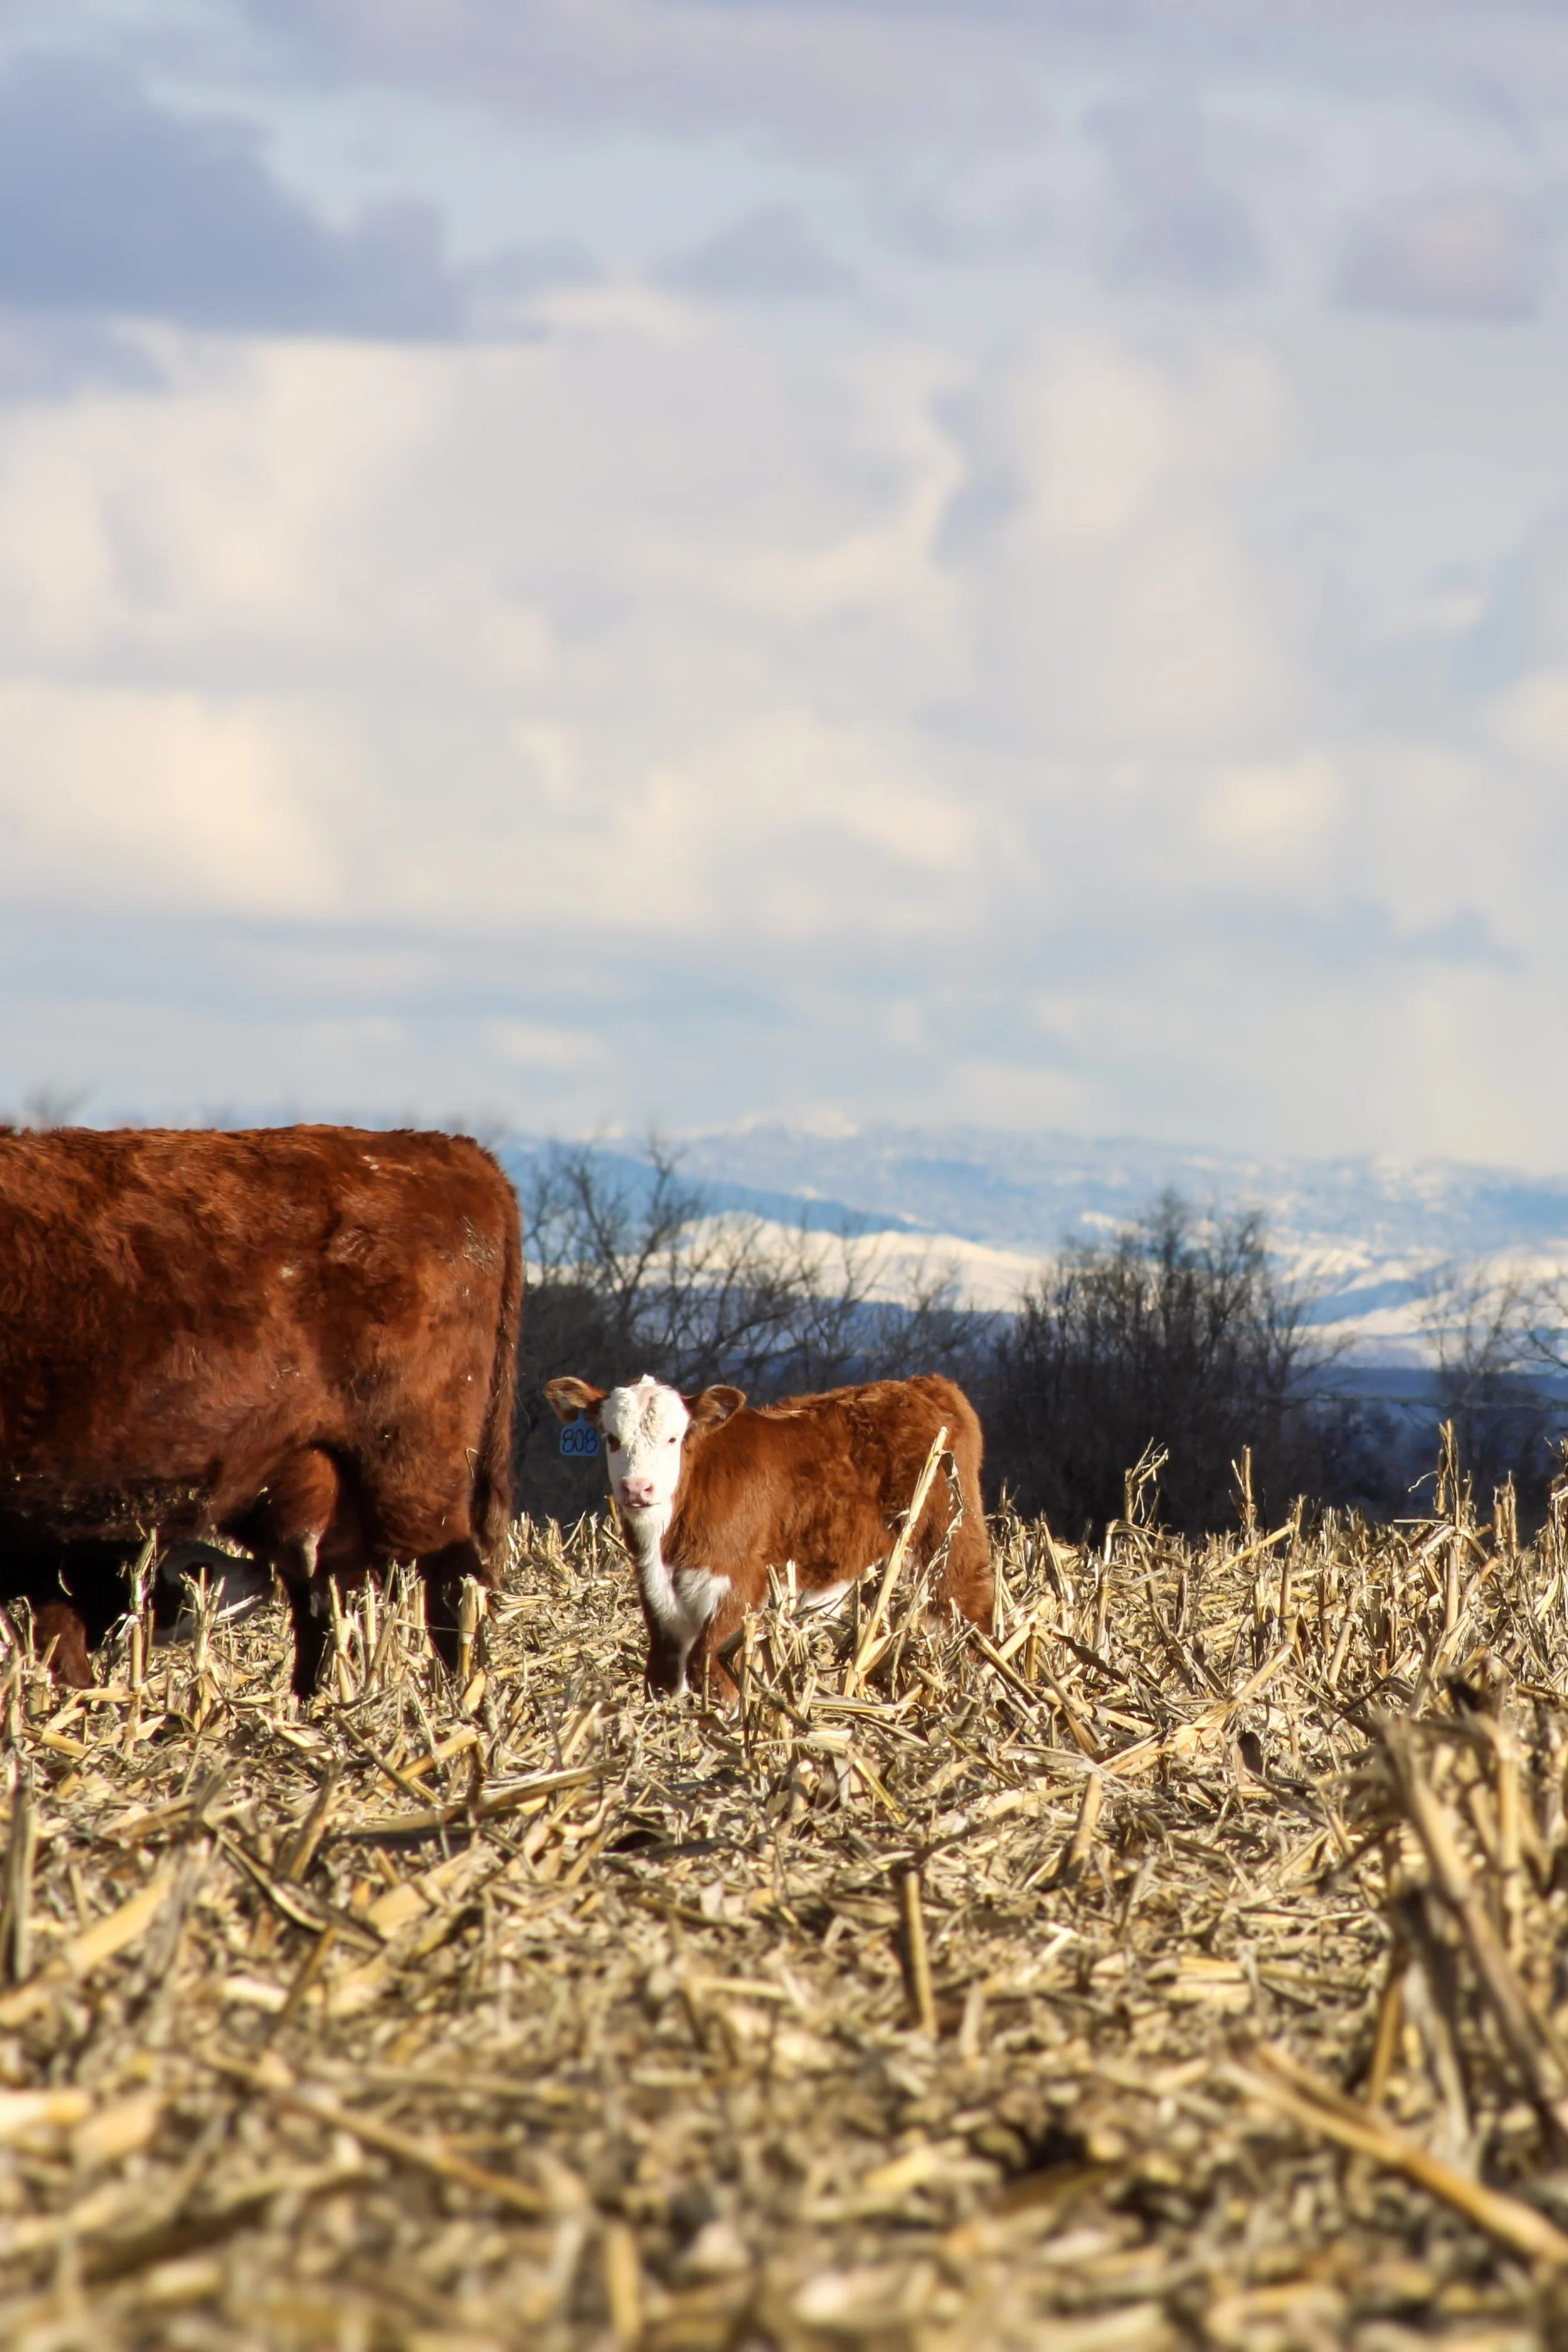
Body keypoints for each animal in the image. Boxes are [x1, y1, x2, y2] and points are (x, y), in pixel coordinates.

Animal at [543, 1371, 993, 1697]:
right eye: (612, 1438)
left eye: (674, 1438)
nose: (638, 1489)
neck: (668, 1542)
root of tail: (925, 1384)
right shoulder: (658, 1598)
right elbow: (665, 1674)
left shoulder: (738, 1587)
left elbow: (711, 1668)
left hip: (949, 1544)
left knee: (974, 1612)